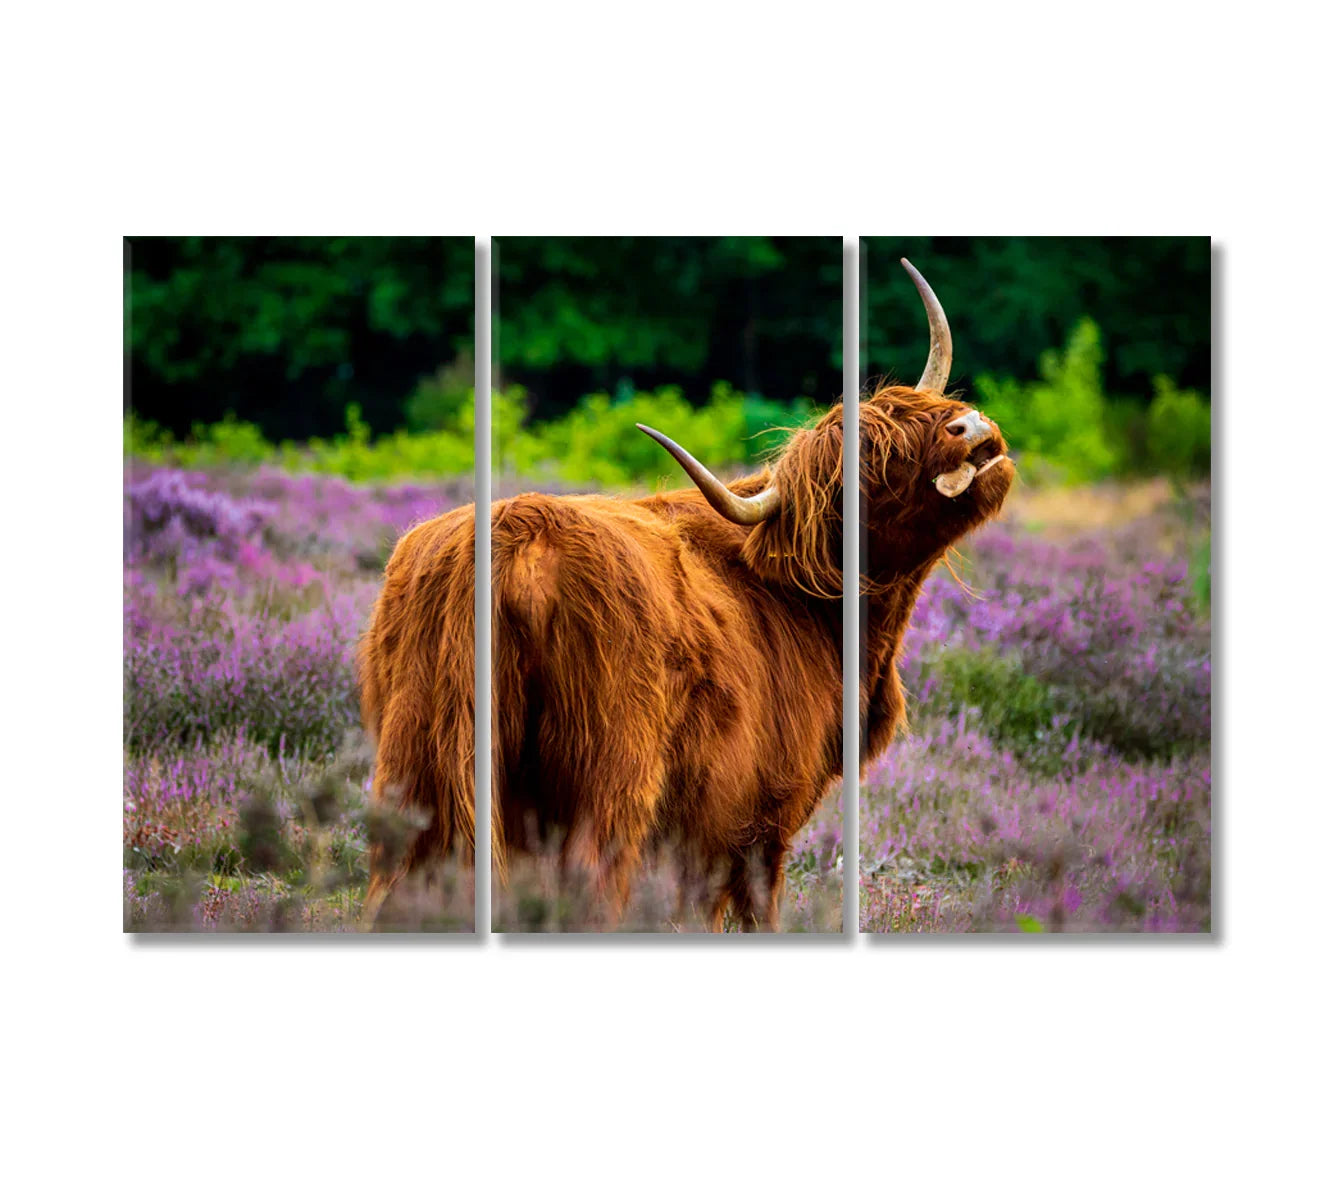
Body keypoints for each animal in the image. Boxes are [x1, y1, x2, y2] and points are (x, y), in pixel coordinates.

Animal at [358, 259, 1015, 930]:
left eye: (918, 410)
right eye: (874, 469)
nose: (968, 427)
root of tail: (519, 534)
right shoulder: (760, 818)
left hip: (421, 770)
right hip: (611, 780)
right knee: (596, 882)